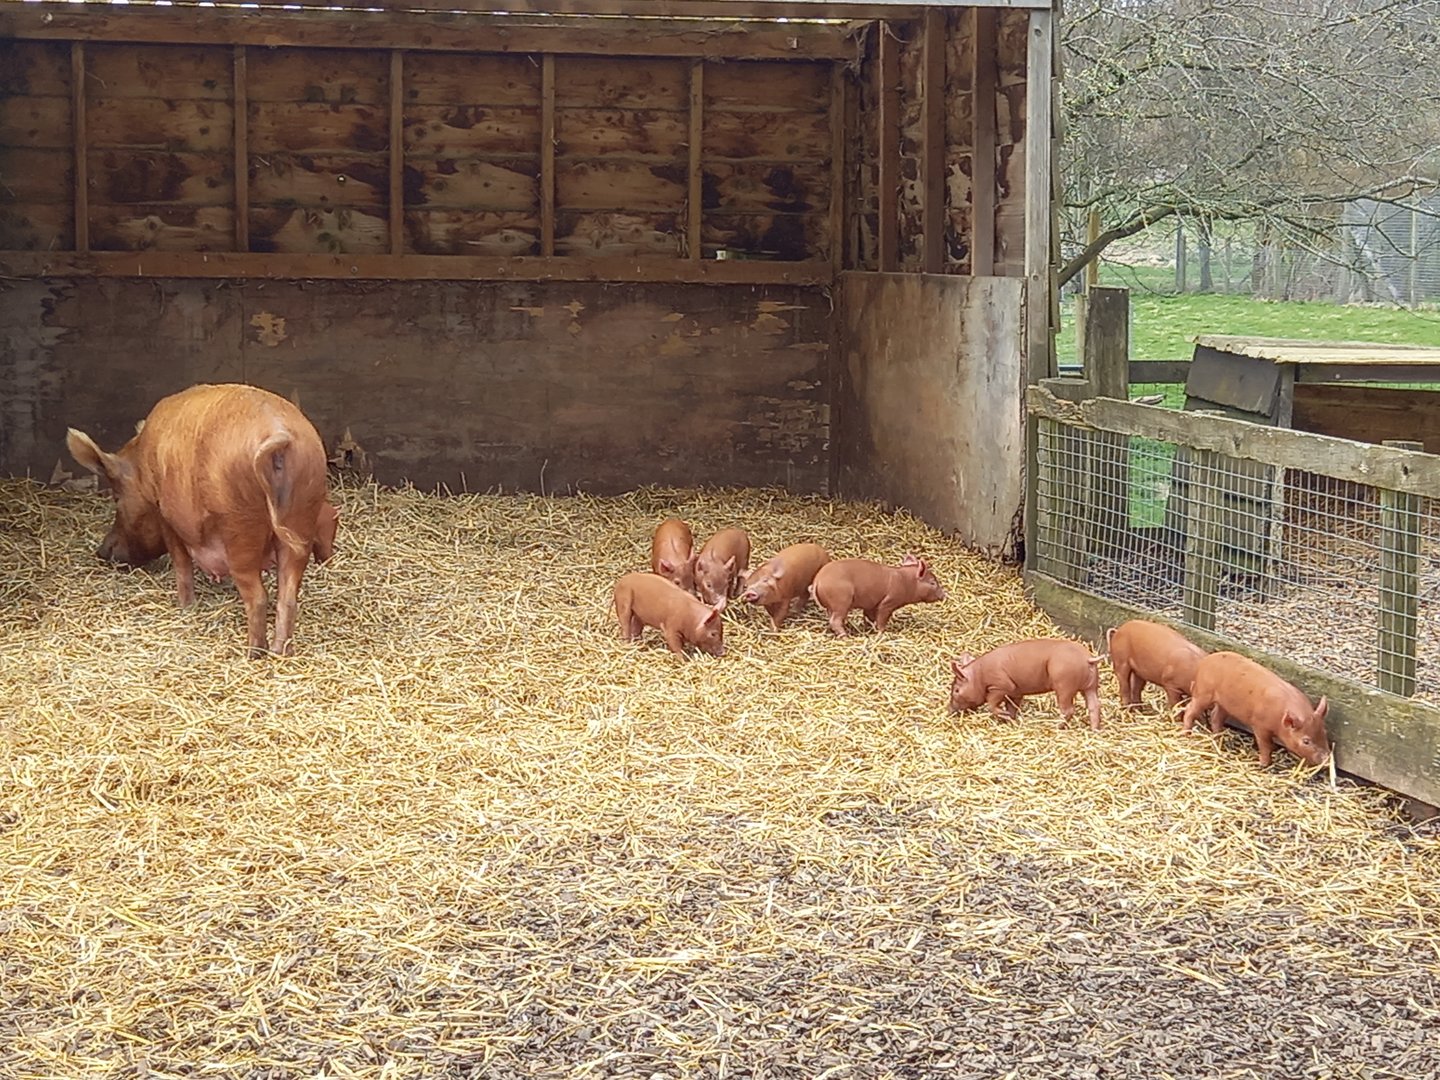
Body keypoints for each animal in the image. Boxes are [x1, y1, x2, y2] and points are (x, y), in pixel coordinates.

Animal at [67, 383, 335, 658]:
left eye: (116, 497)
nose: (102, 551)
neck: (142, 467)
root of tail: (279, 435)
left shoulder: (165, 515)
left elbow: (181, 563)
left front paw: (185, 607)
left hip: (240, 525)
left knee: (258, 597)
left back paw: (253, 654)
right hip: (302, 514)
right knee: (288, 597)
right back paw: (281, 652)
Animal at [810, 555, 947, 636]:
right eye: (933, 582)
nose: (944, 595)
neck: (906, 582)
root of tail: (817, 580)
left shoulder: (871, 604)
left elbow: (869, 617)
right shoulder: (888, 602)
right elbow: (881, 618)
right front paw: (882, 632)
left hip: (832, 605)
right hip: (841, 600)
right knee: (835, 620)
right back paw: (845, 636)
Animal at [948, 639, 1103, 730]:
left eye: (956, 690)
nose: (949, 710)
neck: (979, 675)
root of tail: (1088, 659)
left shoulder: (1001, 686)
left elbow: (992, 703)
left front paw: (1004, 715)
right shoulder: (1016, 692)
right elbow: (1012, 706)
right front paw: (1009, 719)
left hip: (1064, 685)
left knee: (1068, 709)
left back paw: (1055, 726)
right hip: (1091, 685)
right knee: (1094, 705)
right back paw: (1094, 731)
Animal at [1180, 651, 1331, 766]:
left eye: (1324, 732)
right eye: (1306, 741)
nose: (1326, 759)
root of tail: (1205, 661)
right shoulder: (1260, 725)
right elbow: (1265, 744)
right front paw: (1264, 764)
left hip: (1225, 704)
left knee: (1215, 717)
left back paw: (1218, 738)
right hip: (1203, 693)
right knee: (1190, 709)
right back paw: (1186, 733)